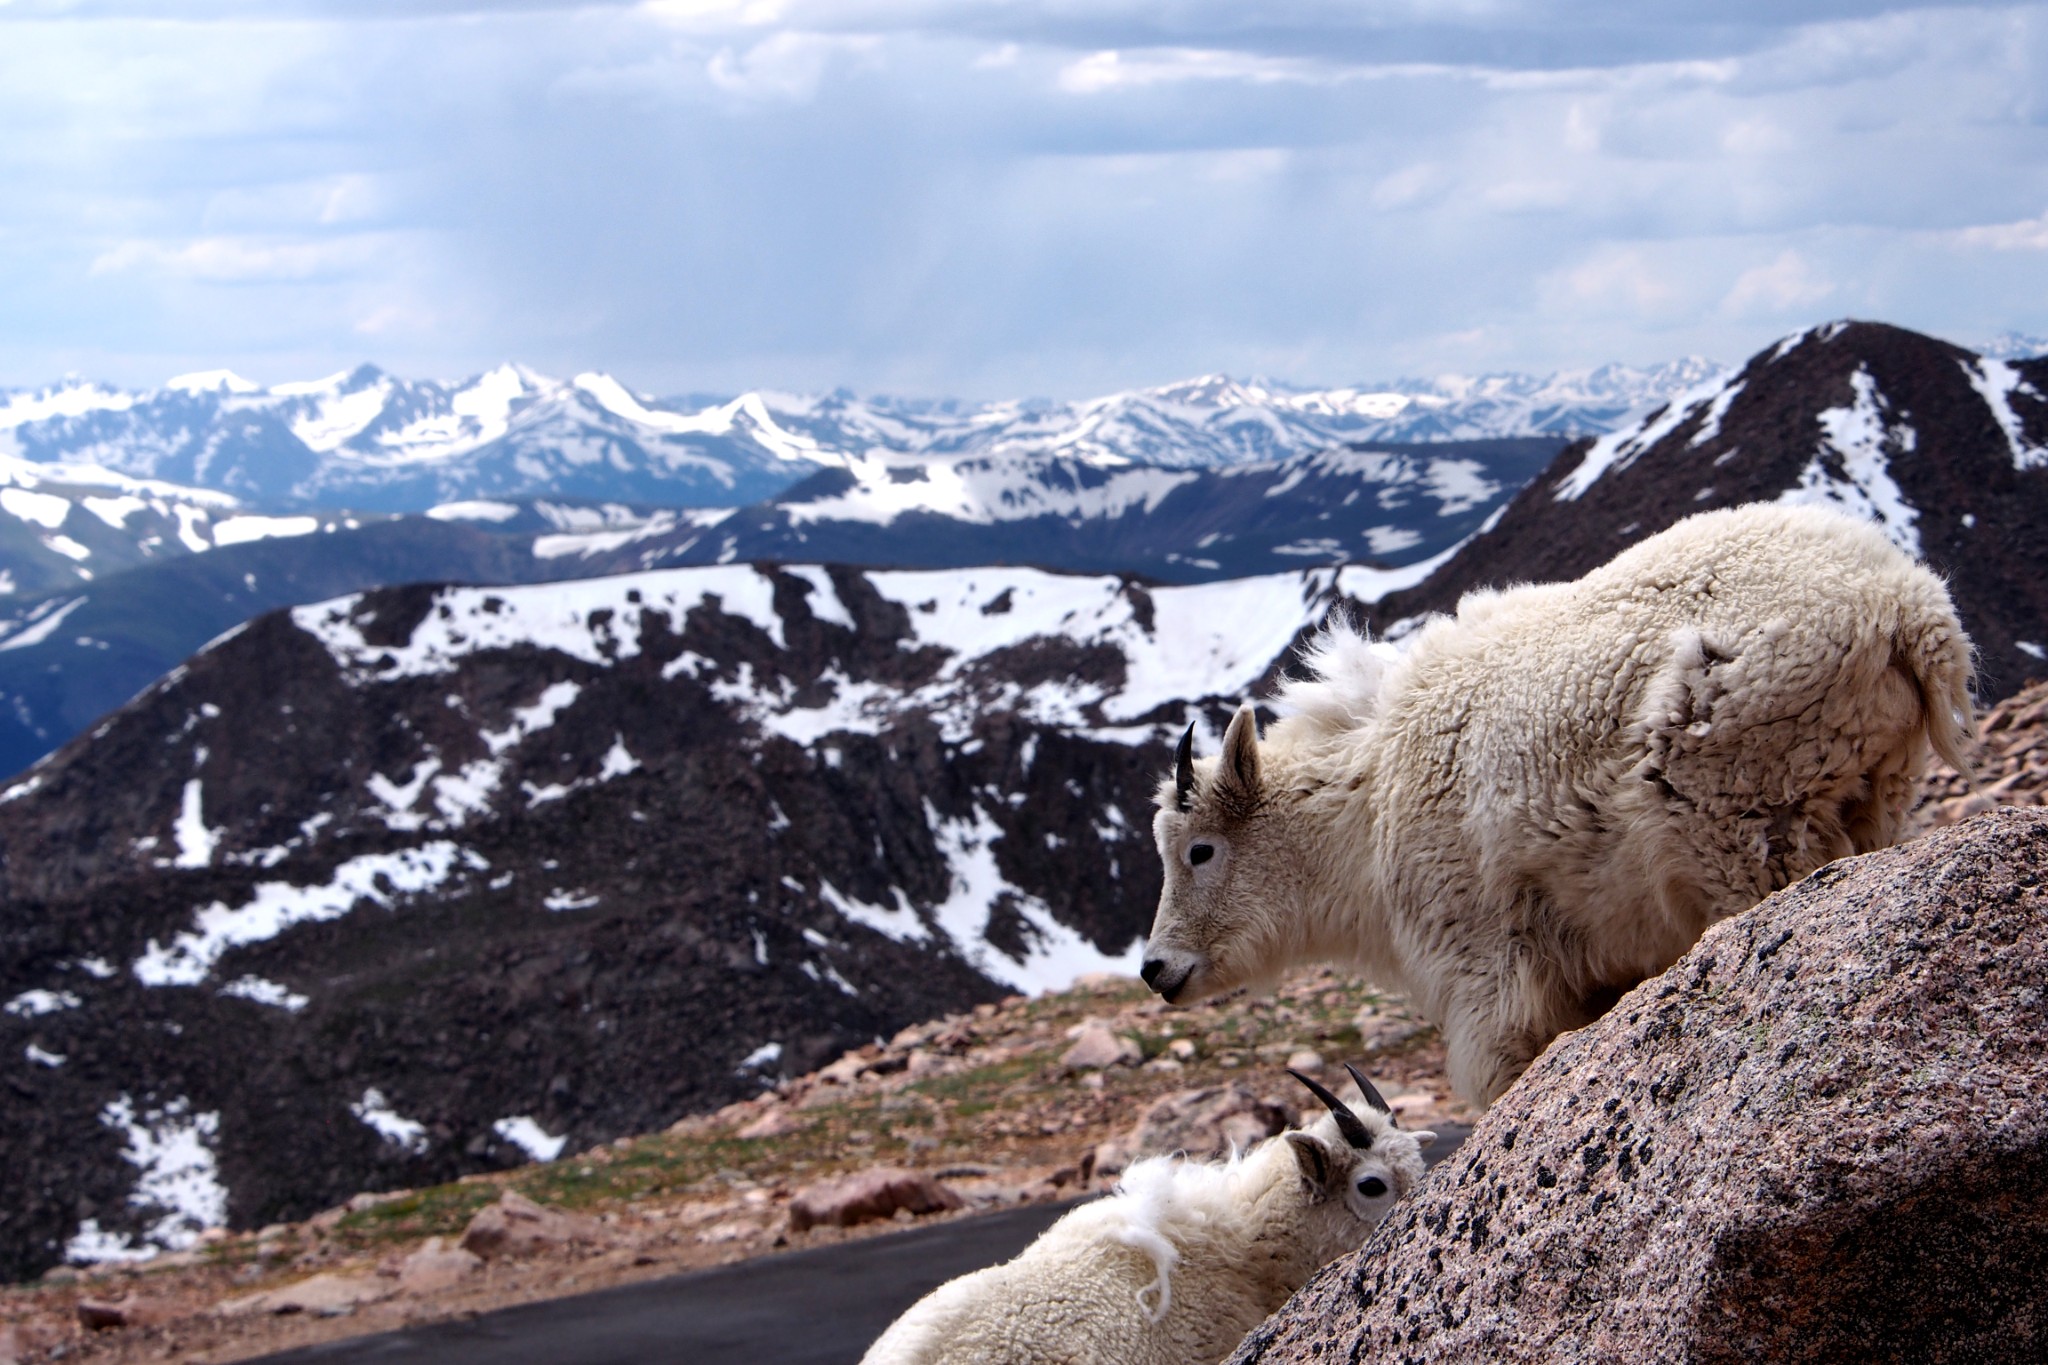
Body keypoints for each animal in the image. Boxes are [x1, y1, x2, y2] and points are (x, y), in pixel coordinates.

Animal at [1138, 501, 1966, 1113]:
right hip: (1872, 792)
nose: (1156, 969)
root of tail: (1907, 606)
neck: (1366, 808)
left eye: (1199, 849)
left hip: (1745, 811)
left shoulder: (1484, 962)